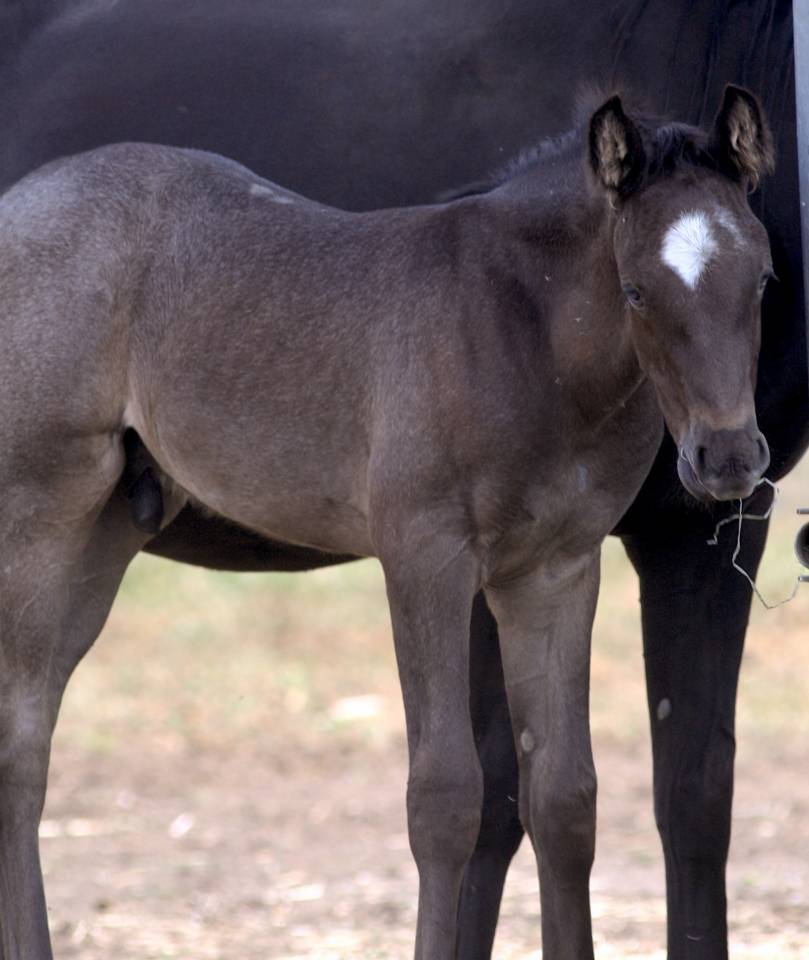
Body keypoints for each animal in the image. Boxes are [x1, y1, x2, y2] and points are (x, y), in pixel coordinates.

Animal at [0, 3, 803, 959]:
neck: (517, 331)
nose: (726, 458)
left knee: (34, 728)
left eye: (762, 278)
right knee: (18, 744)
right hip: (39, 513)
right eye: (637, 290)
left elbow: (563, 797)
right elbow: (447, 798)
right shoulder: (426, 556)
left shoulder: (556, 569)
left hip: (107, 531)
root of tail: (22, 203)